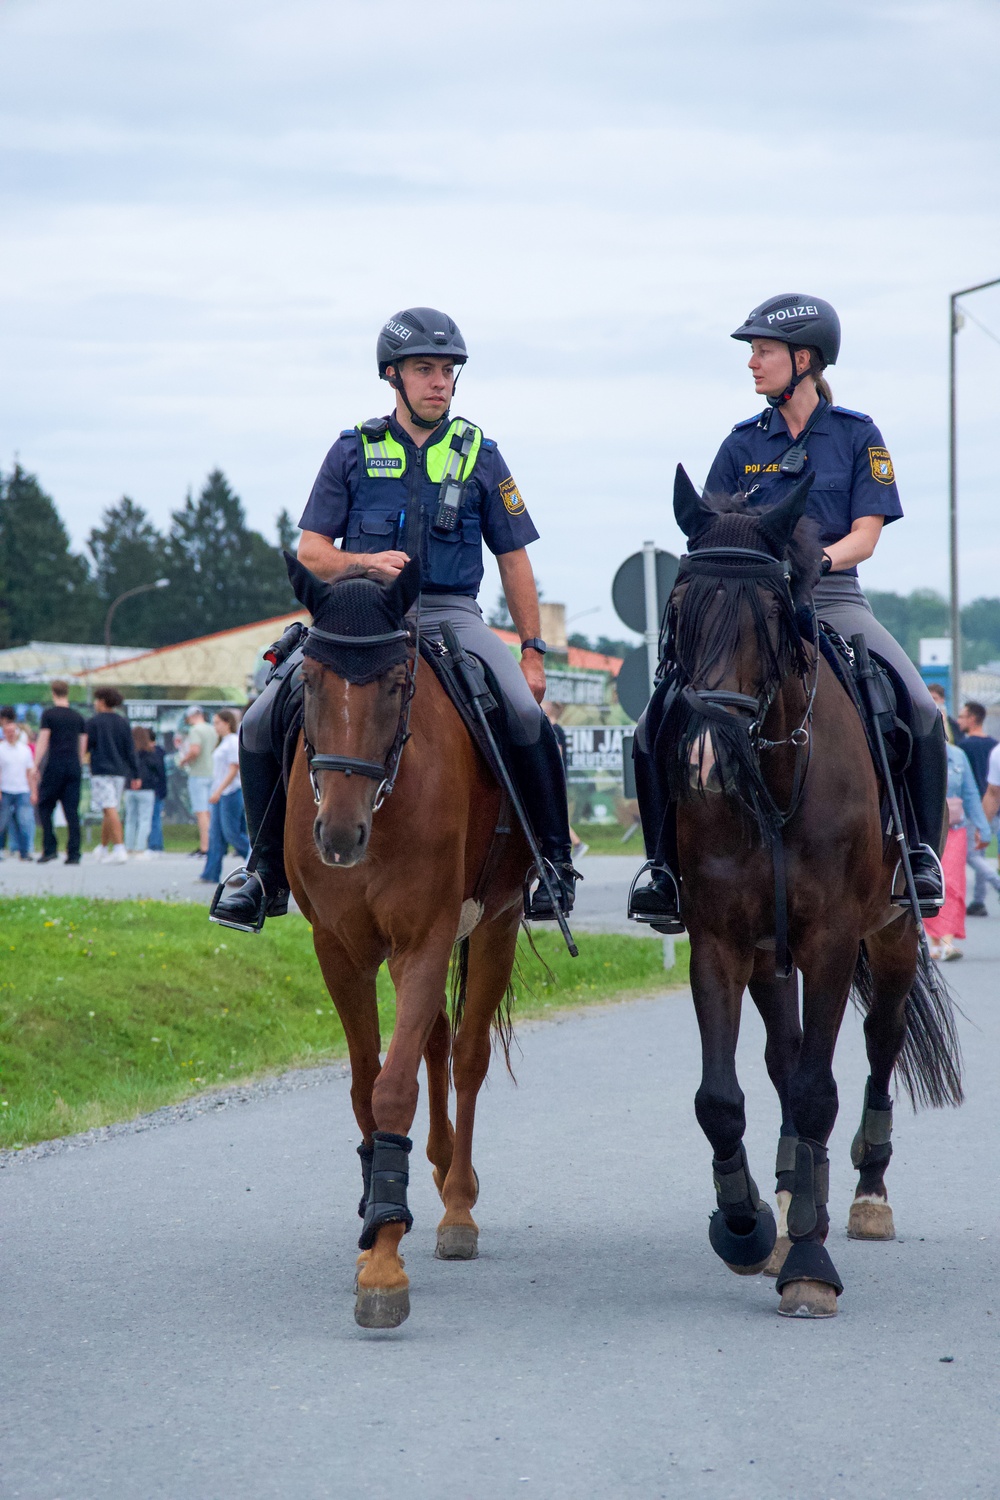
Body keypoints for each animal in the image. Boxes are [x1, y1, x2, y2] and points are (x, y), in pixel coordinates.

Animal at [281, 552, 530, 1326]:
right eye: (309, 679)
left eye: (395, 684)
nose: (338, 834)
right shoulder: (341, 950)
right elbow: (368, 1086)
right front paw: (374, 1223)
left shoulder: (426, 937)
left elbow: (394, 1091)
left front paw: (385, 1267)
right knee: (437, 1044)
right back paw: (441, 1170)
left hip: (497, 923)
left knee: (469, 1055)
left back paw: (458, 1204)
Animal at [650, 465, 959, 1314]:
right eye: (677, 608)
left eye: (767, 616)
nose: (705, 762)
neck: (776, 777)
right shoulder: (721, 941)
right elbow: (721, 1098)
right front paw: (747, 1224)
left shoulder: (830, 942)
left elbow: (821, 1089)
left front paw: (811, 1264)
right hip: (768, 954)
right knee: (783, 1060)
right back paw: (793, 1192)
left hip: (889, 937)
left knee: (879, 1042)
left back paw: (862, 1195)